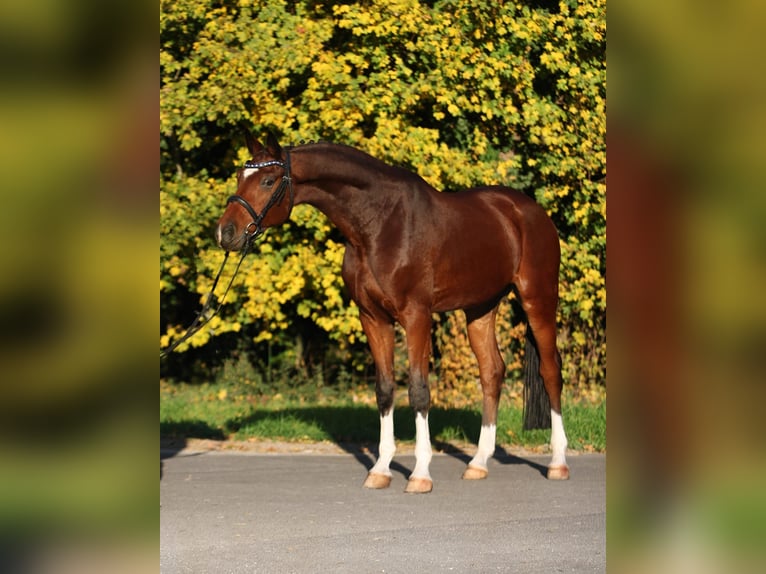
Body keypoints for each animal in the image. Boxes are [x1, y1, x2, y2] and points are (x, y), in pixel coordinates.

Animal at [216, 135, 568, 496]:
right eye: (239, 176)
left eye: (268, 181)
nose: (225, 233)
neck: (380, 225)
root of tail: (529, 211)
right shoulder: (373, 318)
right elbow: (384, 389)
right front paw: (381, 469)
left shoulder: (417, 316)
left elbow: (418, 390)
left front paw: (420, 474)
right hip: (481, 308)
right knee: (492, 372)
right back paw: (478, 463)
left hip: (538, 298)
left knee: (551, 371)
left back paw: (557, 463)